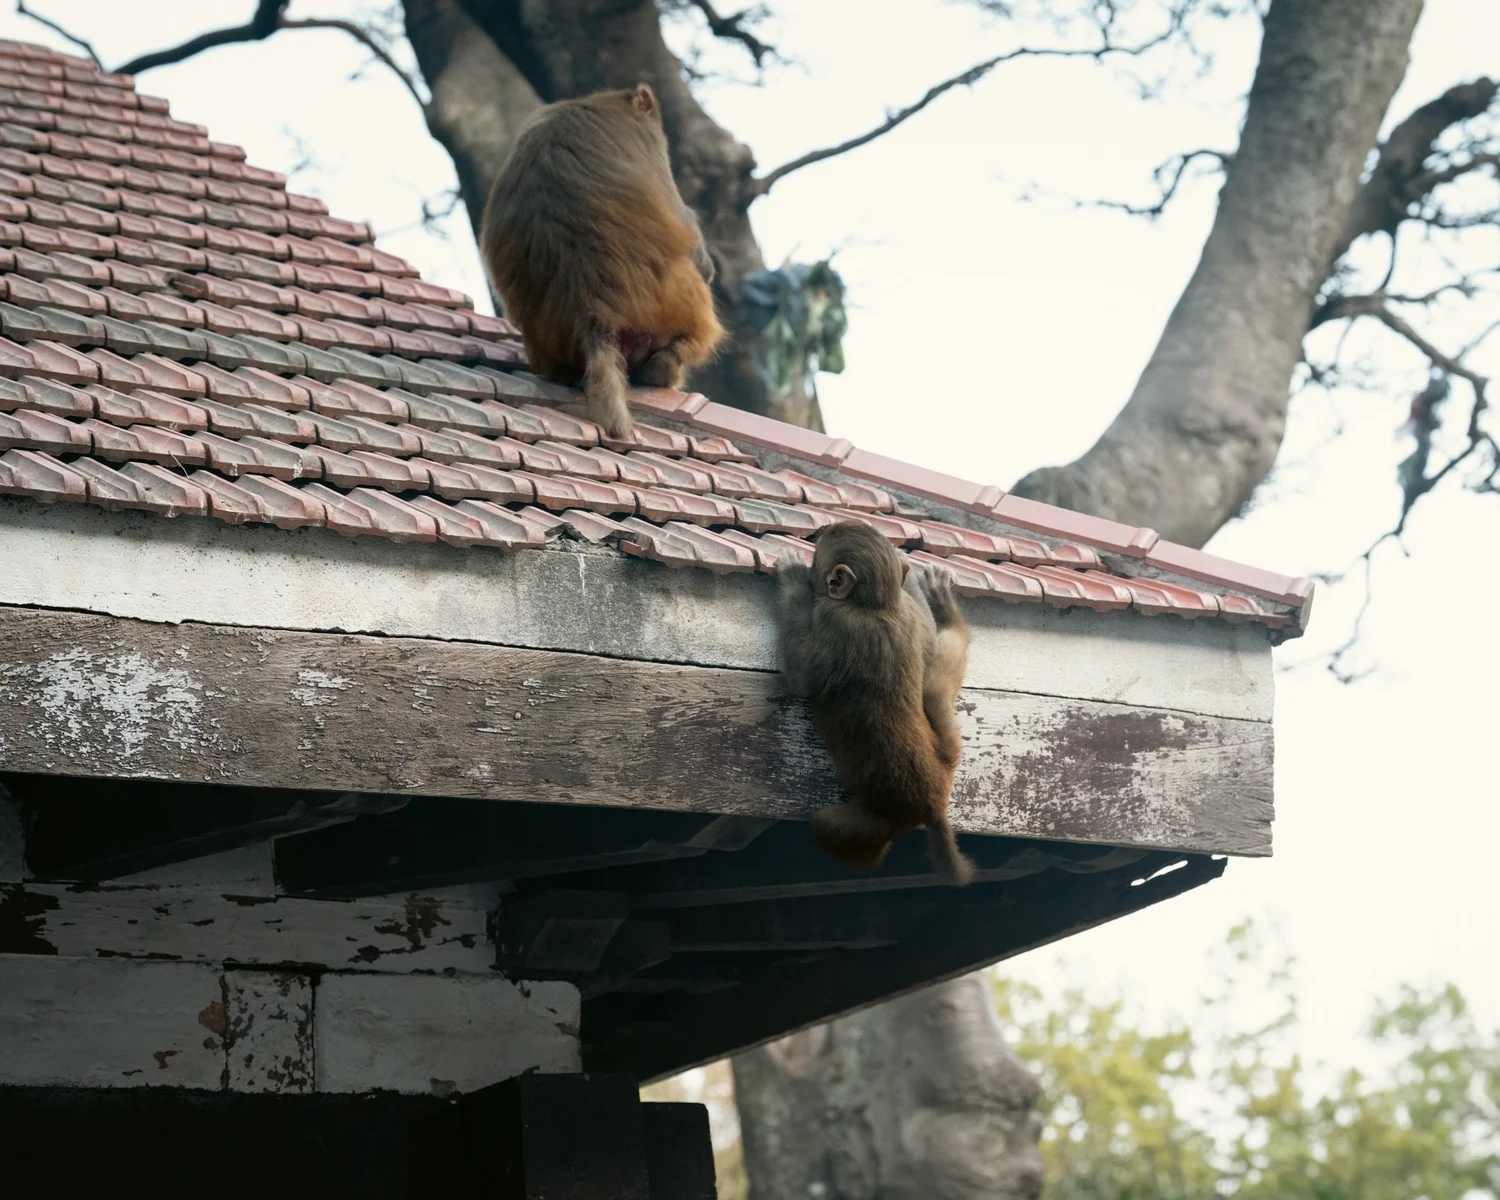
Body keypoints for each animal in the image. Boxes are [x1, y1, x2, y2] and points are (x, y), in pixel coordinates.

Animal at [777, 521, 975, 885]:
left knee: (827, 823)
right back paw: (947, 612)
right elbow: (927, 641)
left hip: (884, 818)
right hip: (948, 753)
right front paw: (906, 571)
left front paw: (792, 576)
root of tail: (934, 806)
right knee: (938, 675)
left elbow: (802, 680)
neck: (875, 605)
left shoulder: (834, 619)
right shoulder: (907, 612)